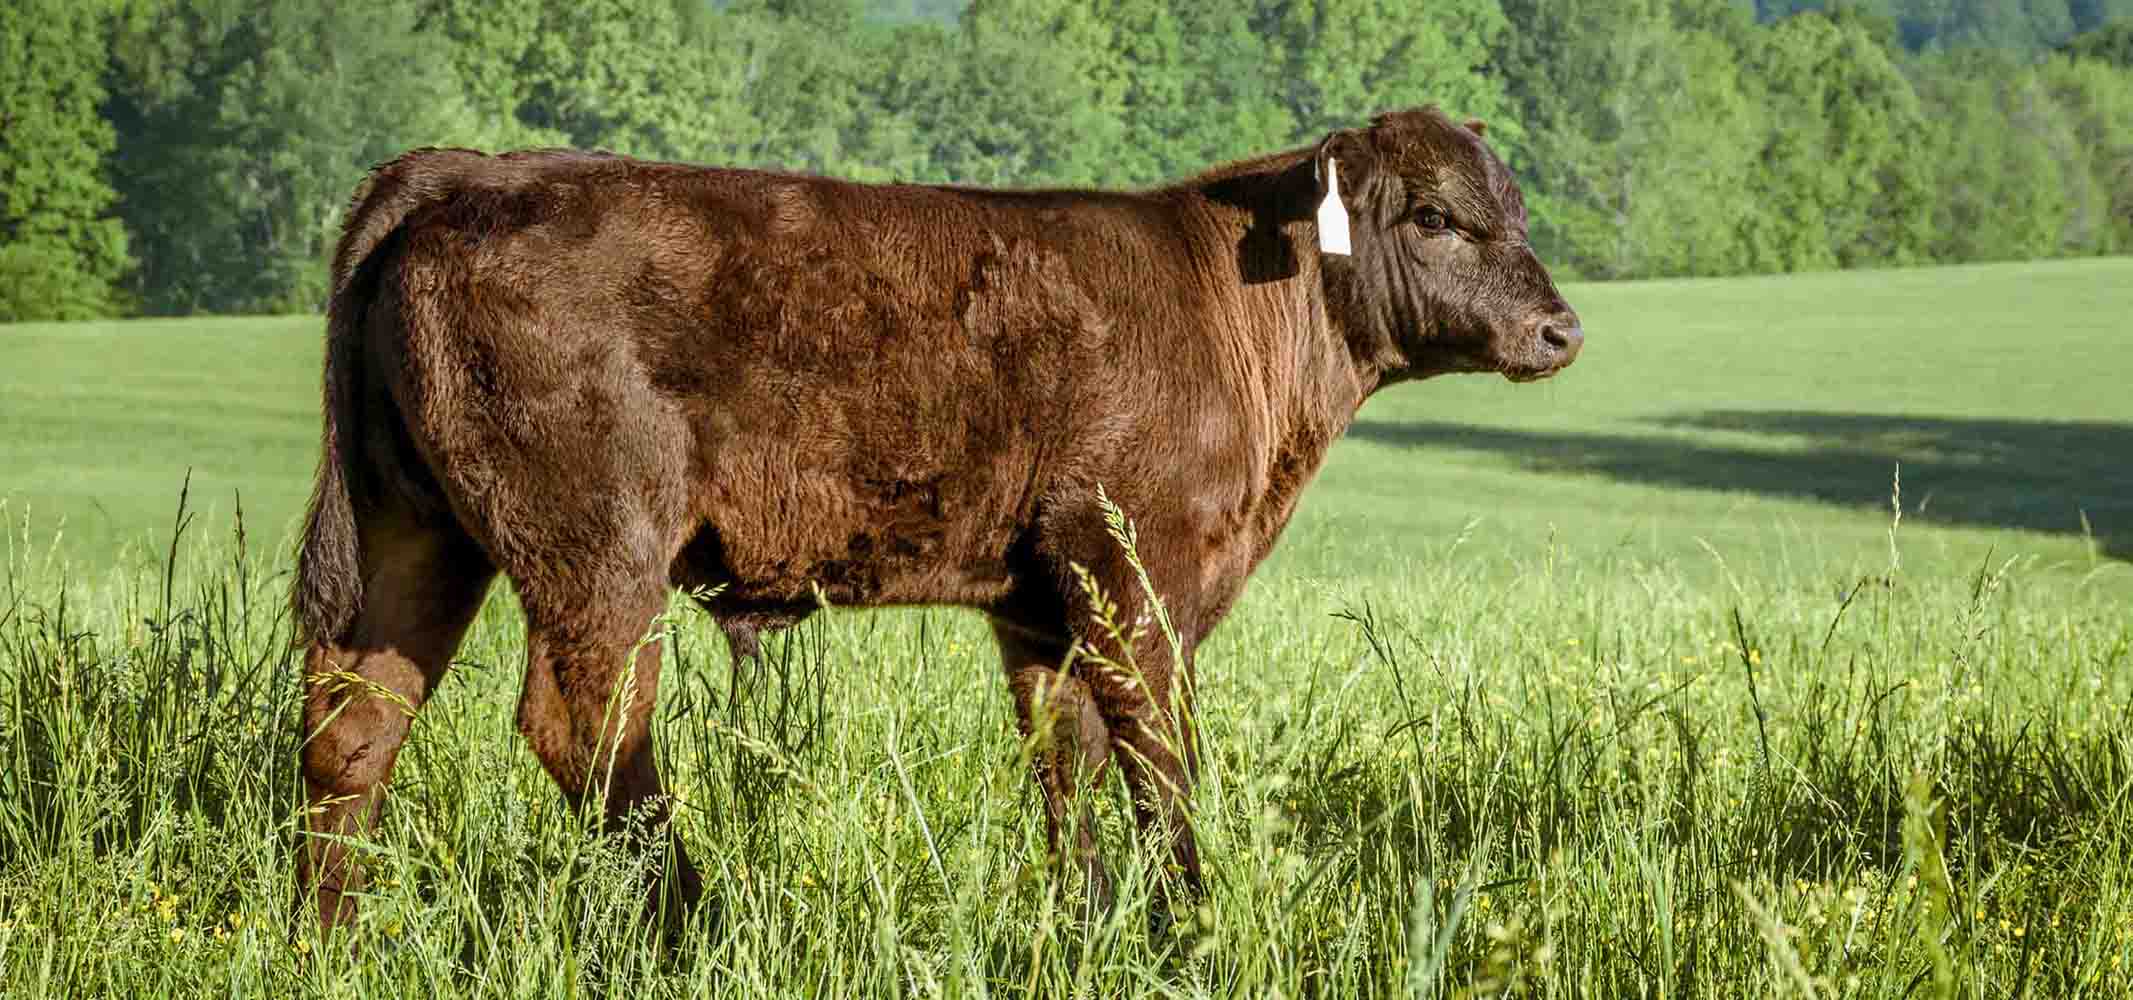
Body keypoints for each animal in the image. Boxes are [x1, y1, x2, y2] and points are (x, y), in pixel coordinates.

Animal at [290, 105, 1582, 940]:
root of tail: (468, 172)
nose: (1560, 328)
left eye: (1514, 210)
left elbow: (1068, 764)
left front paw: (1087, 927)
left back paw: (334, 938)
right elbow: (1159, 760)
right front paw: (1190, 925)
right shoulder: (1136, 573)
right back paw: (693, 928)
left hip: (414, 535)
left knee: (356, 720)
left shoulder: (1042, 605)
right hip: (598, 551)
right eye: (1433, 216)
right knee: (588, 727)